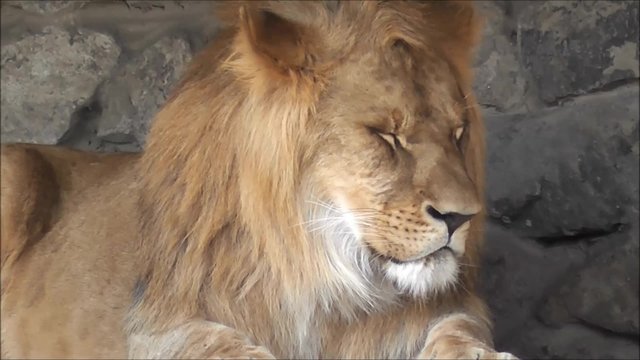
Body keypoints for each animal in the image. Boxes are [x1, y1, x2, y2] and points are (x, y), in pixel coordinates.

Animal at [1, 1, 520, 358]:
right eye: (386, 134)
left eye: (458, 133)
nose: (460, 218)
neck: (321, 265)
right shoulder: (160, 323)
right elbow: (220, 347)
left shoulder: (443, 310)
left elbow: (458, 329)